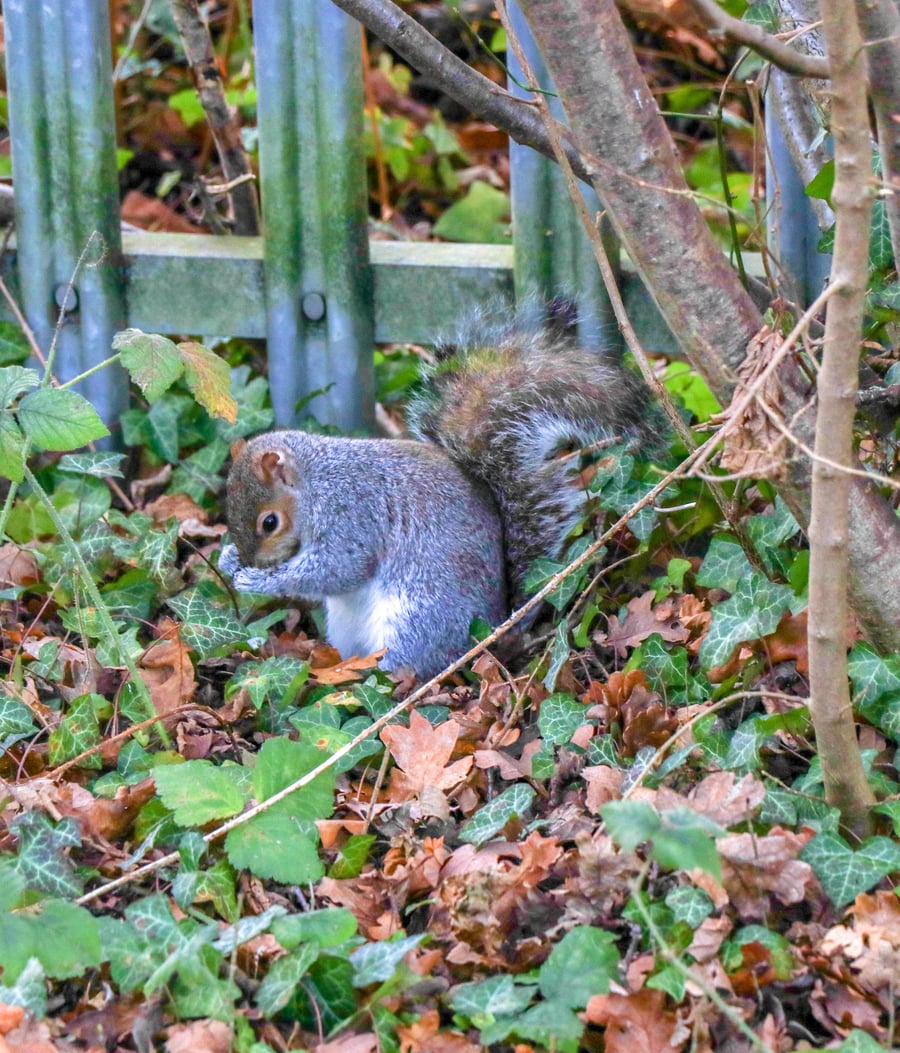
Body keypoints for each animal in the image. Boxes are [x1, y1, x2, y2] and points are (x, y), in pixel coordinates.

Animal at [220, 313, 654, 678]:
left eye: (270, 522)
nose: (250, 560)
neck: (315, 483)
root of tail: (494, 627)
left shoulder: (352, 512)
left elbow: (339, 568)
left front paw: (260, 579)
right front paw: (227, 559)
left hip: (417, 617)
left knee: (406, 669)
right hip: (347, 624)